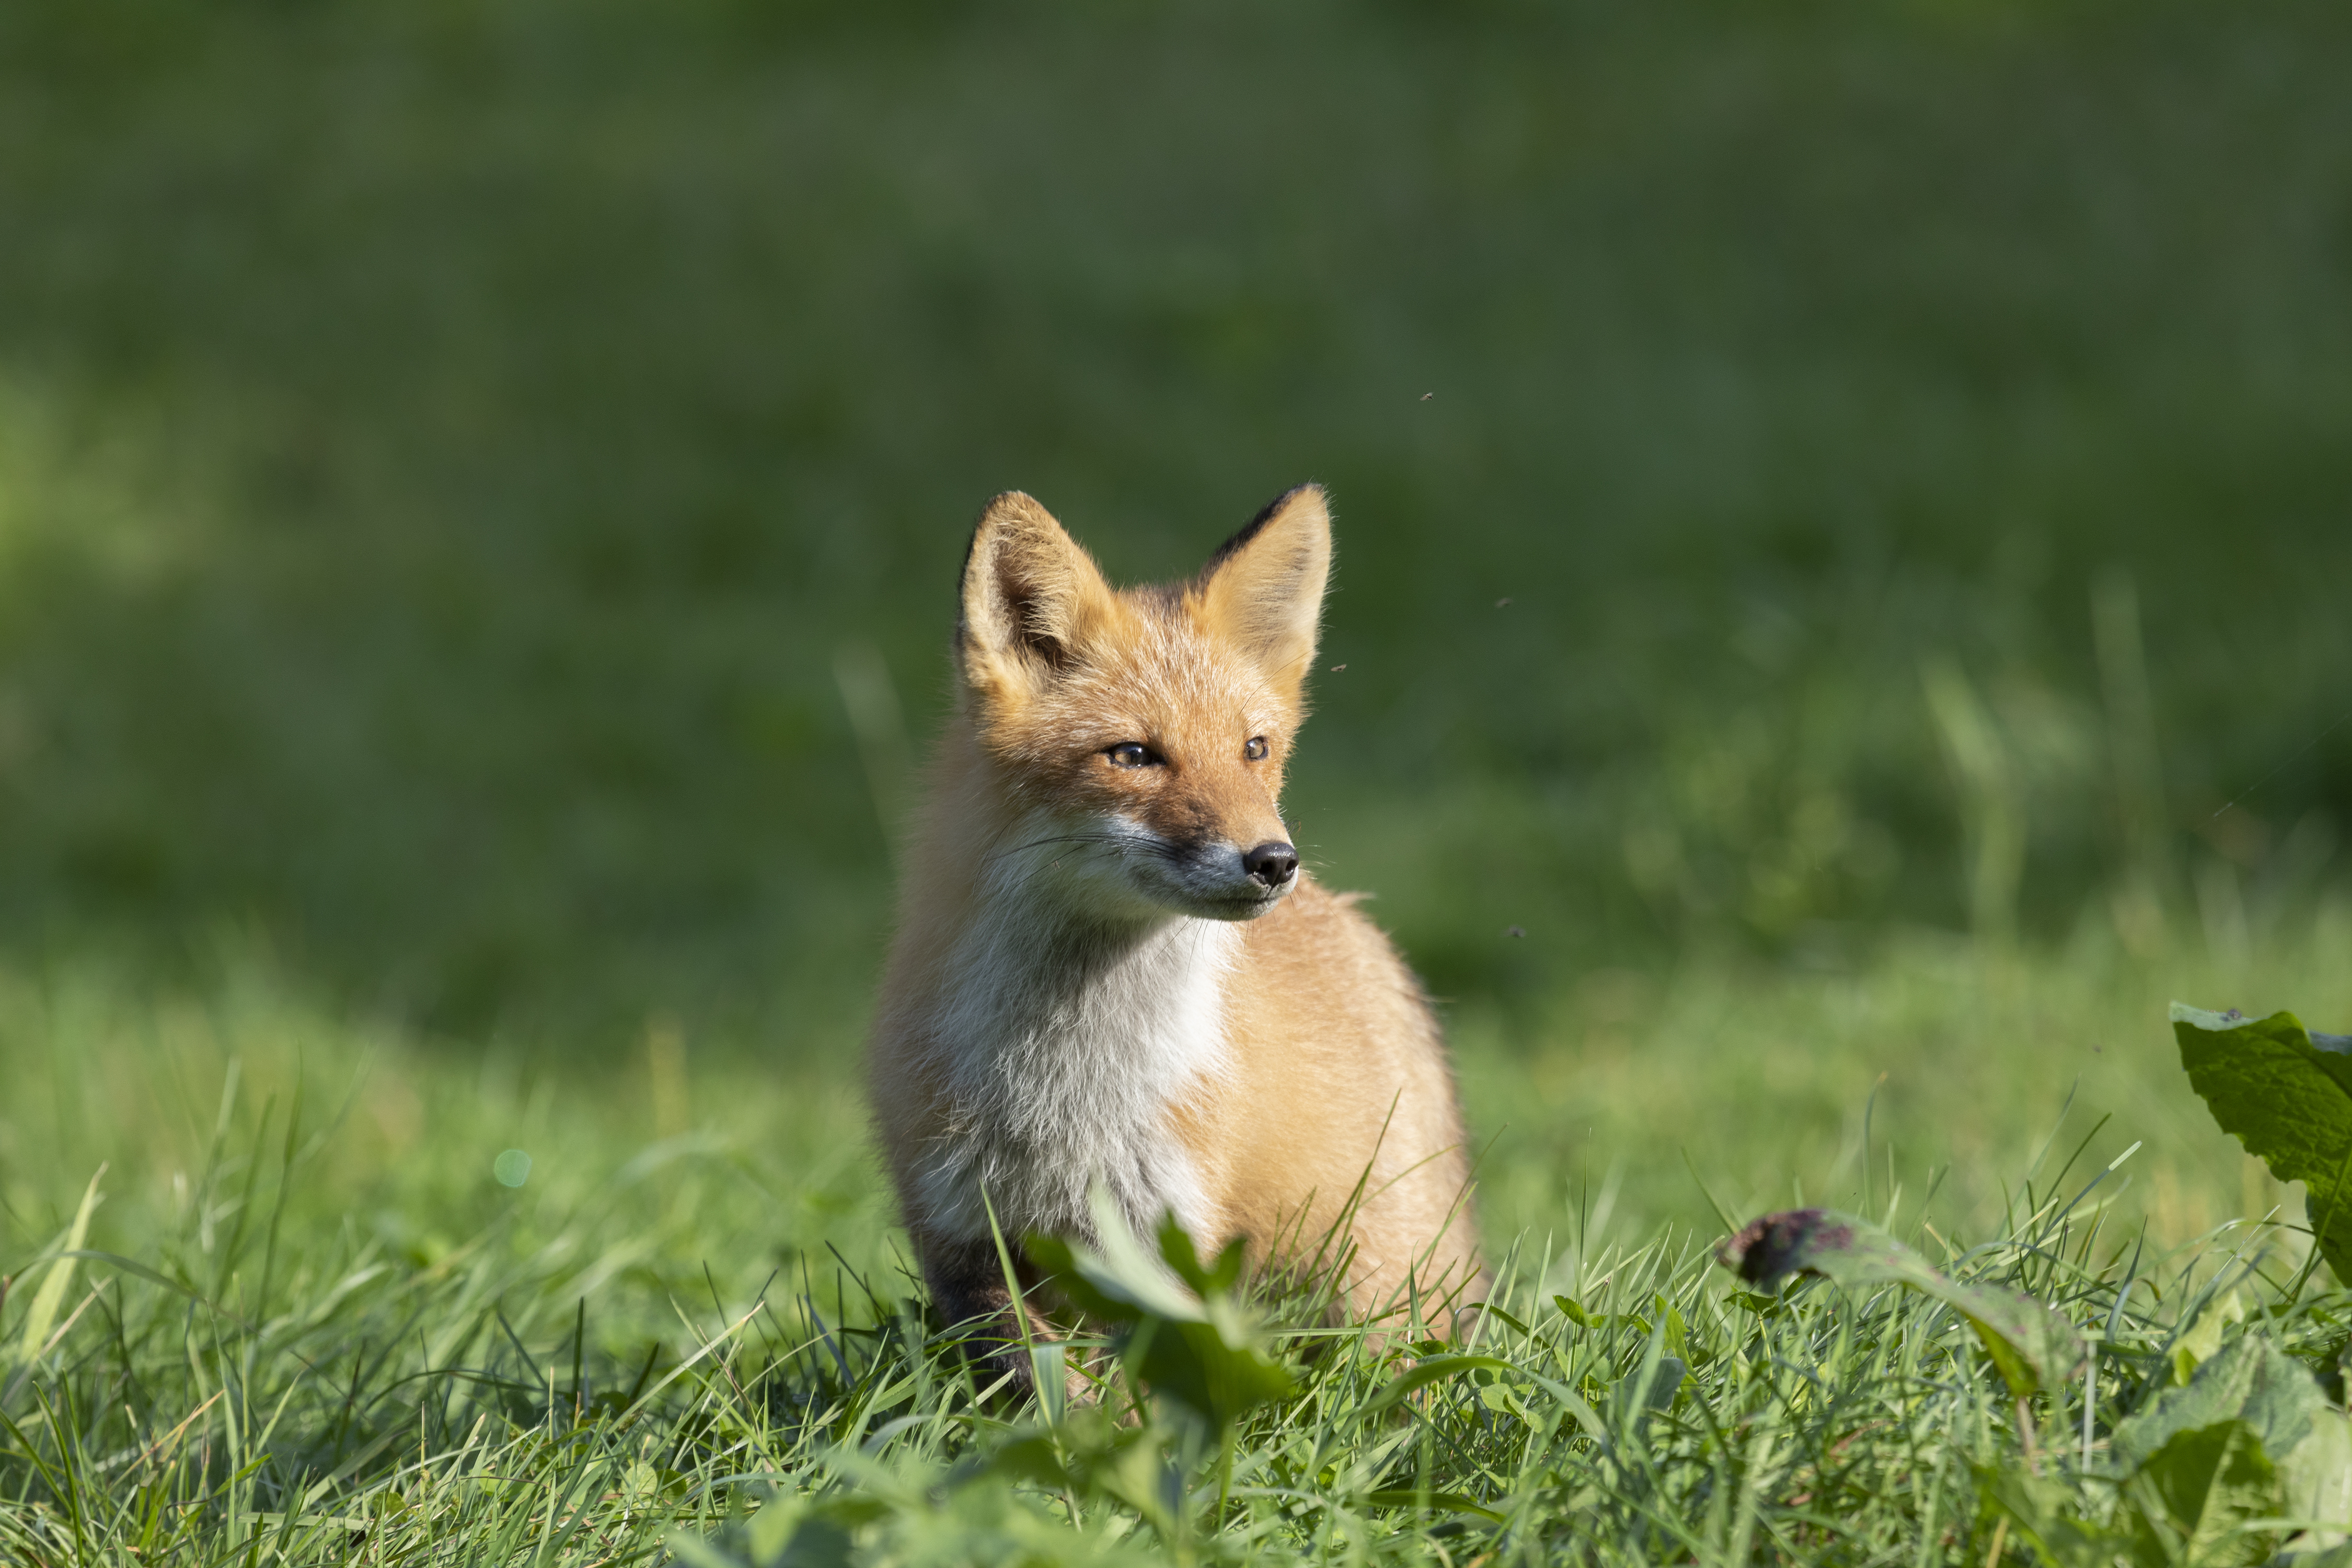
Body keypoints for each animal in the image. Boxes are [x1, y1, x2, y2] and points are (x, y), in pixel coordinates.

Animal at [875, 484, 1477, 1391]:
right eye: (1133, 755)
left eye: (1254, 749)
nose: (1274, 861)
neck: (1063, 1093)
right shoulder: (961, 1238)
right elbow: (1047, 1386)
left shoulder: (1166, 1245)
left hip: (1380, 1285)